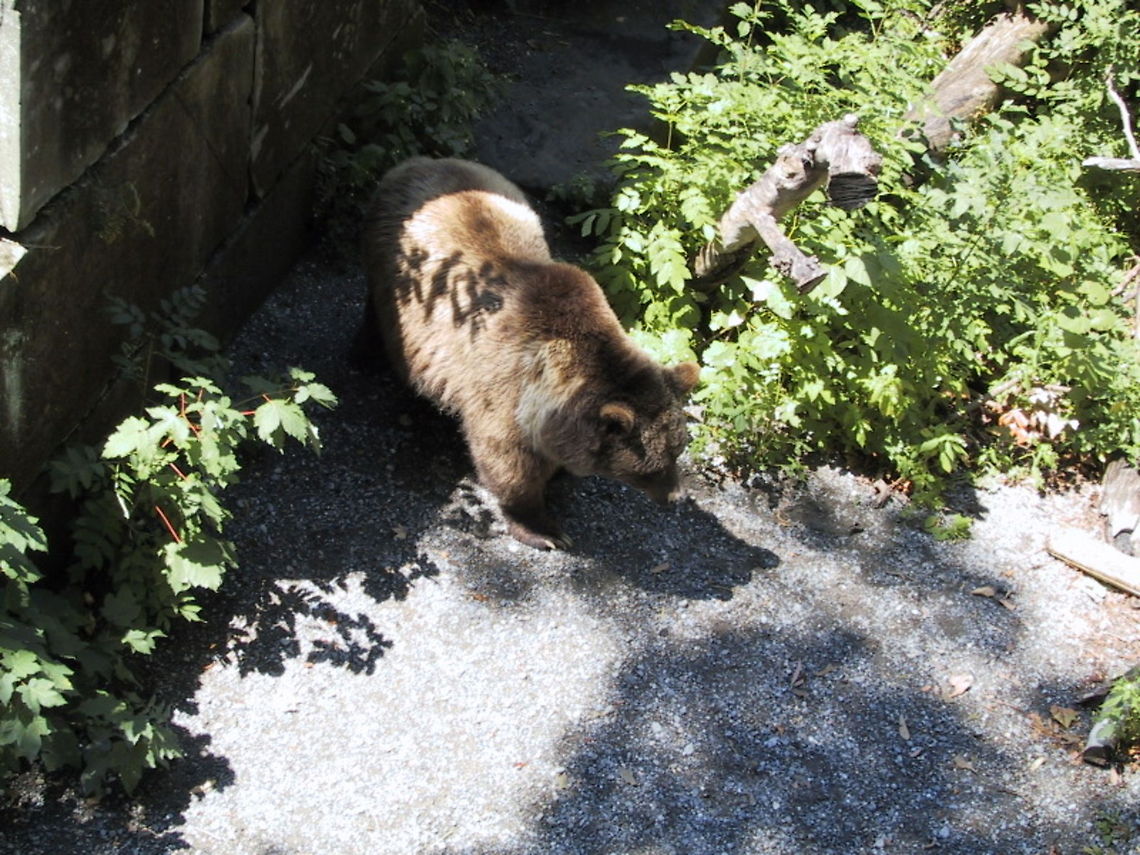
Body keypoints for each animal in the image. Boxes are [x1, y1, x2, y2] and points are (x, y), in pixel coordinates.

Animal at [360, 156, 699, 550]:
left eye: (678, 449)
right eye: (653, 467)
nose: (676, 497)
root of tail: (416, 162)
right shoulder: (506, 392)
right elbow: (508, 465)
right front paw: (546, 530)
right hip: (390, 270)